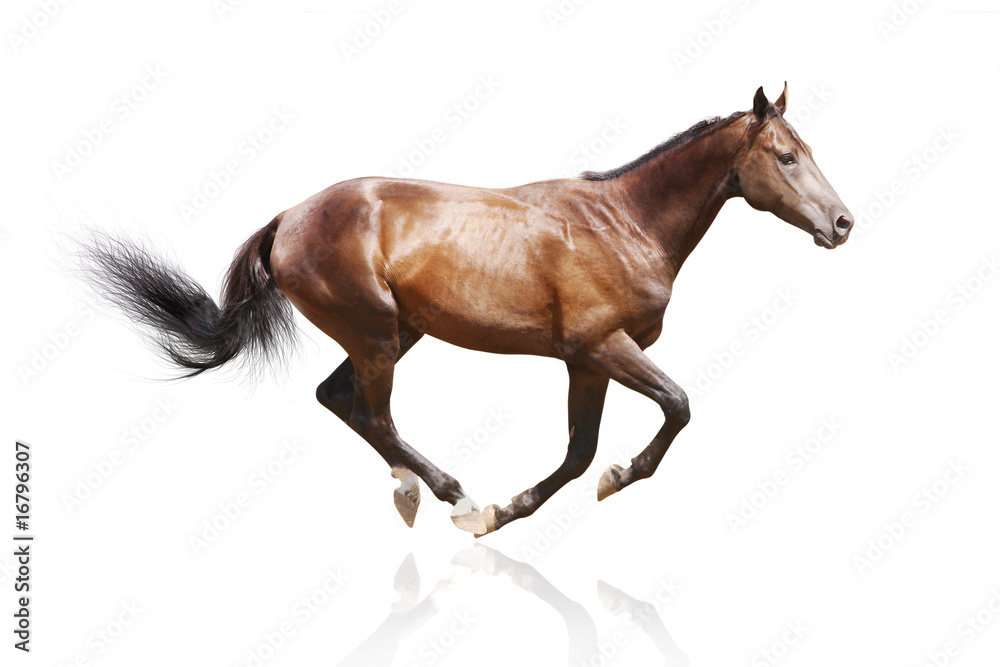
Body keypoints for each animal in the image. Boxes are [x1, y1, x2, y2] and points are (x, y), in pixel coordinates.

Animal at [78, 84, 852, 536]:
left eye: (808, 149)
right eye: (785, 156)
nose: (843, 223)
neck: (622, 223)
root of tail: (286, 218)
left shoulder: (586, 362)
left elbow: (579, 452)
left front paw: (507, 514)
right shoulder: (603, 346)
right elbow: (677, 406)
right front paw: (594, 485)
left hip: (397, 333)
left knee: (338, 398)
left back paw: (422, 491)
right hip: (378, 336)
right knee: (372, 413)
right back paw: (443, 494)